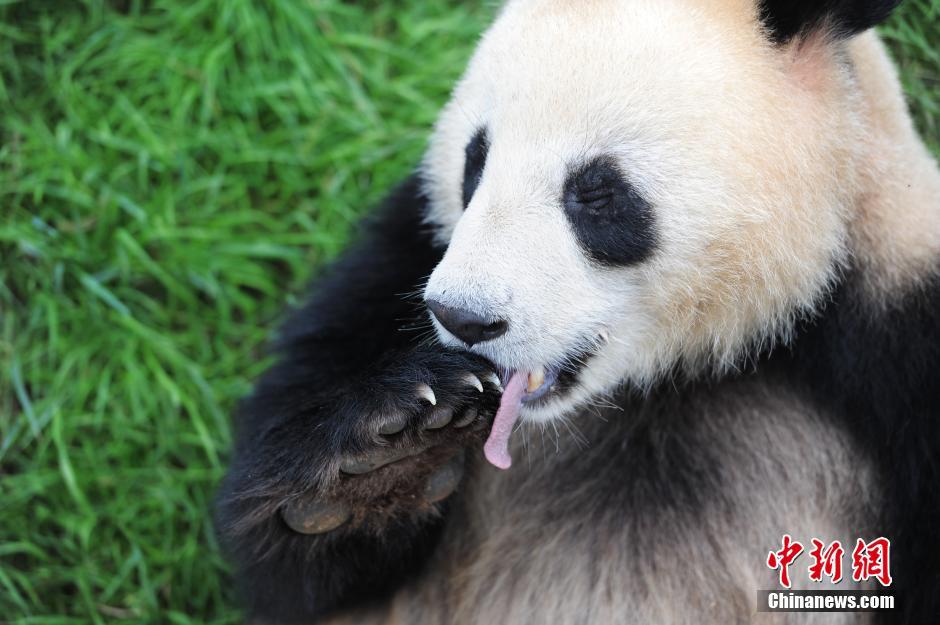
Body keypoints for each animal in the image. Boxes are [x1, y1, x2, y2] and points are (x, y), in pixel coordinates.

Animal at [215, 0, 940, 620]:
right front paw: (389, 454)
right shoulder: (399, 259)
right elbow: (296, 574)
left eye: (596, 192)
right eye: (476, 159)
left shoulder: (902, 328)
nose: (463, 318)